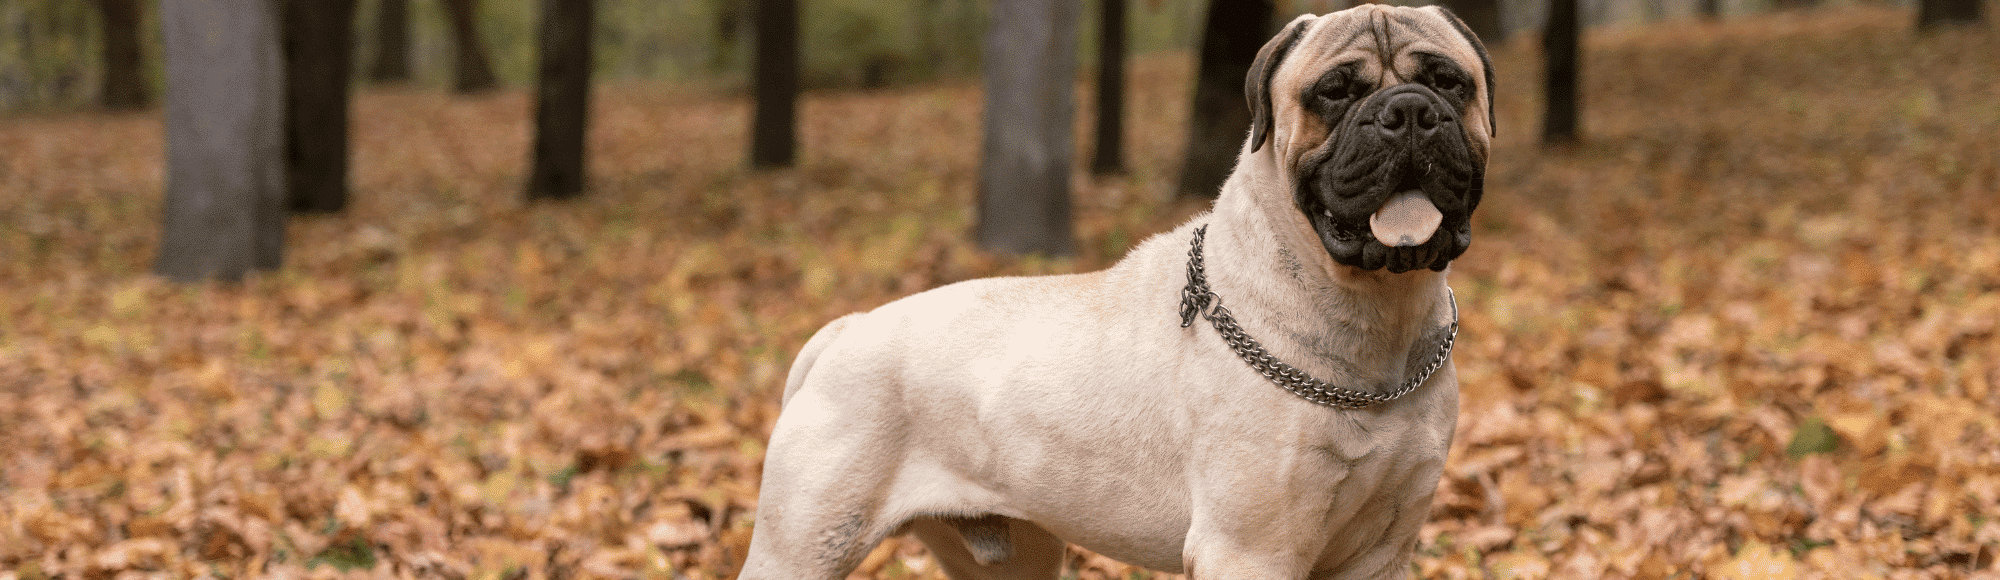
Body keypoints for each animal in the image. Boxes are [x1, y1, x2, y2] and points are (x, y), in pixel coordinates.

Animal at [744, 5, 1496, 580]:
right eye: (1335, 91)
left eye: (1449, 82)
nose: (1407, 111)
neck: (1379, 318)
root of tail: (847, 328)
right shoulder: (1251, 549)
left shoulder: (1382, 551)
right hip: (802, 547)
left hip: (1010, 555)